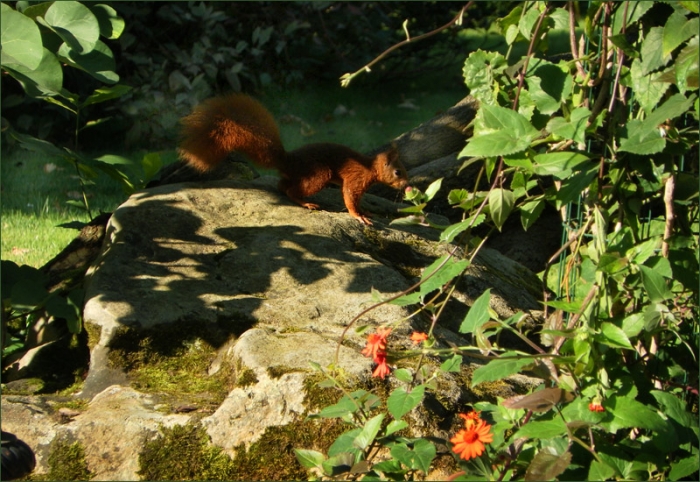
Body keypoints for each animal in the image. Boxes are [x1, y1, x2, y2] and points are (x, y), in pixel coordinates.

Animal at [177, 94, 409, 225]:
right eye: (397, 172)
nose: (407, 185)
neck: (370, 168)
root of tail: (288, 161)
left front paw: (366, 211)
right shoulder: (356, 178)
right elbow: (350, 198)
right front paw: (358, 215)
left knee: (282, 185)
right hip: (318, 174)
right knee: (291, 191)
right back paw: (306, 202)